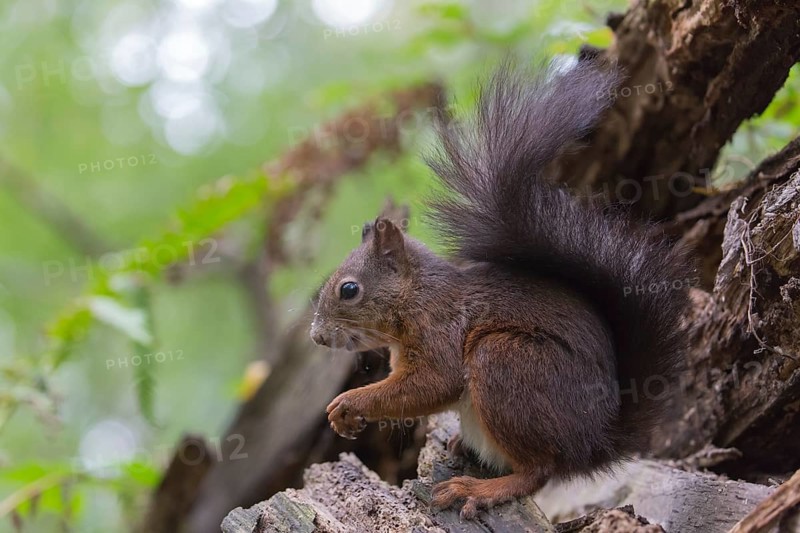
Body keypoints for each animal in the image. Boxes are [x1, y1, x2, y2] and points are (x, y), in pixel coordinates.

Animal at [310, 58, 691, 520]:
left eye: (349, 290)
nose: (316, 336)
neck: (416, 297)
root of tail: (593, 445)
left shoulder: (440, 331)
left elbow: (433, 384)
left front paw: (349, 403)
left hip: (506, 361)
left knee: (539, 471)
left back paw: (480, 489)